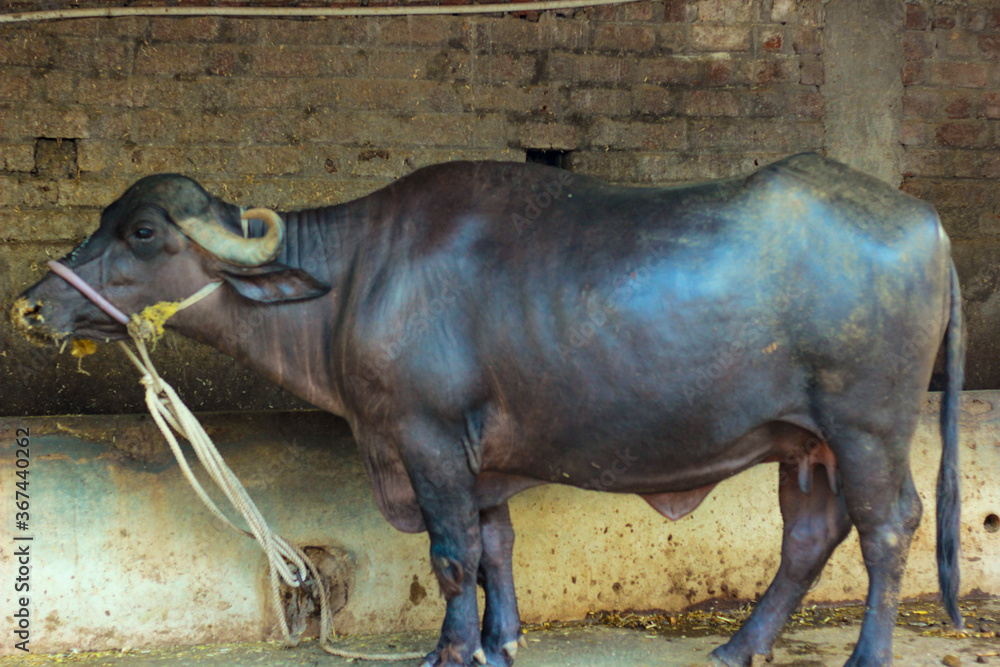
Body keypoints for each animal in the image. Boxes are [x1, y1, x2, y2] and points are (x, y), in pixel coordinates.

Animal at [12, 153, 964, 667]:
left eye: (142, 232)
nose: (32, 304)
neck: (353, 279)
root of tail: (926, 221)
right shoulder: (484, 459)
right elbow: (496, 544)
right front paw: (503, 637)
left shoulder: (426, 438)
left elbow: (452, 552)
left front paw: (451, 645)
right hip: (804, 443)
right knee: (811, 535)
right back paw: (740, 642)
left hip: (867, 428)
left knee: (888, 527)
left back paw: (867, 650)